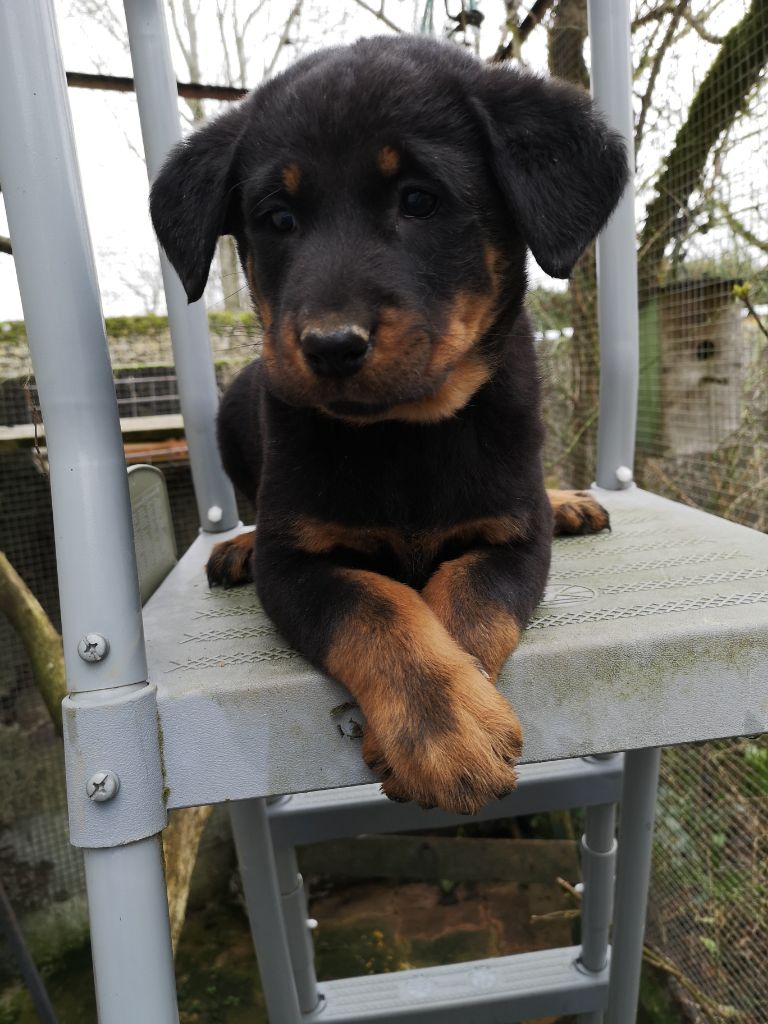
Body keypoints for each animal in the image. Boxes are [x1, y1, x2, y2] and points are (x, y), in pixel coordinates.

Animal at [151, 35, 627, 815]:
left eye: (419, 201)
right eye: (277, 218)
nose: (329, 345)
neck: (405, 434)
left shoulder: (513, 539)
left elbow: (462, 605)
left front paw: (460, 723)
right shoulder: (296, 562)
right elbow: (380, 609)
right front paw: (443, 733)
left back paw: (567, 502)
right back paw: (238, 544)